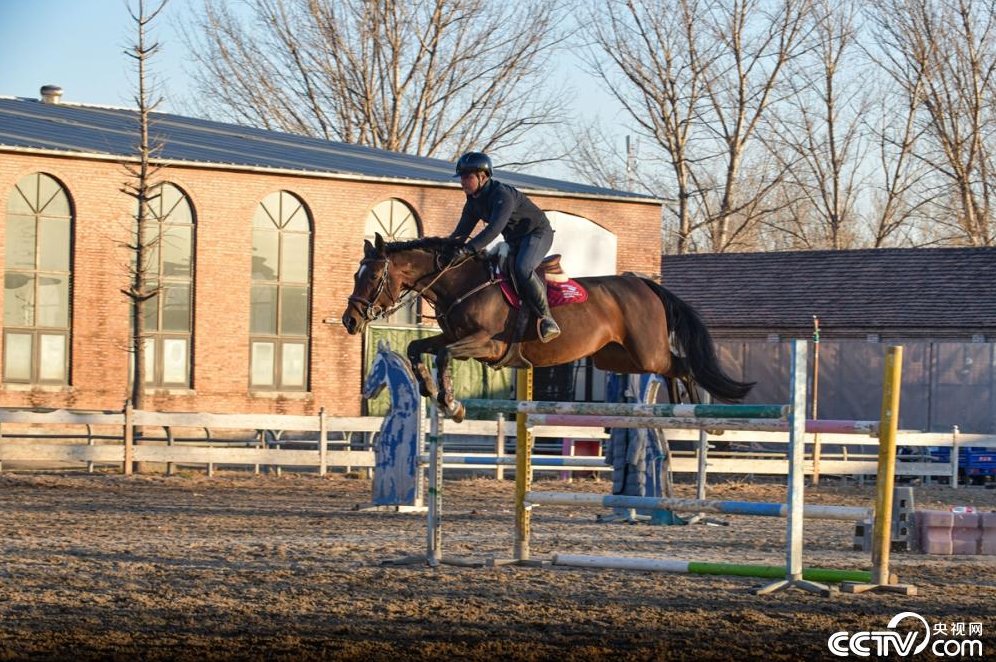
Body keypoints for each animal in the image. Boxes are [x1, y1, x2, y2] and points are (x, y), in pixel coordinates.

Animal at [344, 233, 756, 420]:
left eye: (374, 276)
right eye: (355, 274)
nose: (351, 320)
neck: (460, 282)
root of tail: (643, 283)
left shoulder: (486, 344)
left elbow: (443, 354)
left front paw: (451, 402)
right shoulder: (456, 335)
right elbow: (417, 348)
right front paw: (432, 390)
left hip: (645, 352)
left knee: (682, 367)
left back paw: (695, 410)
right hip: (617, 358)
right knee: (672, 369)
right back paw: (679, 410)